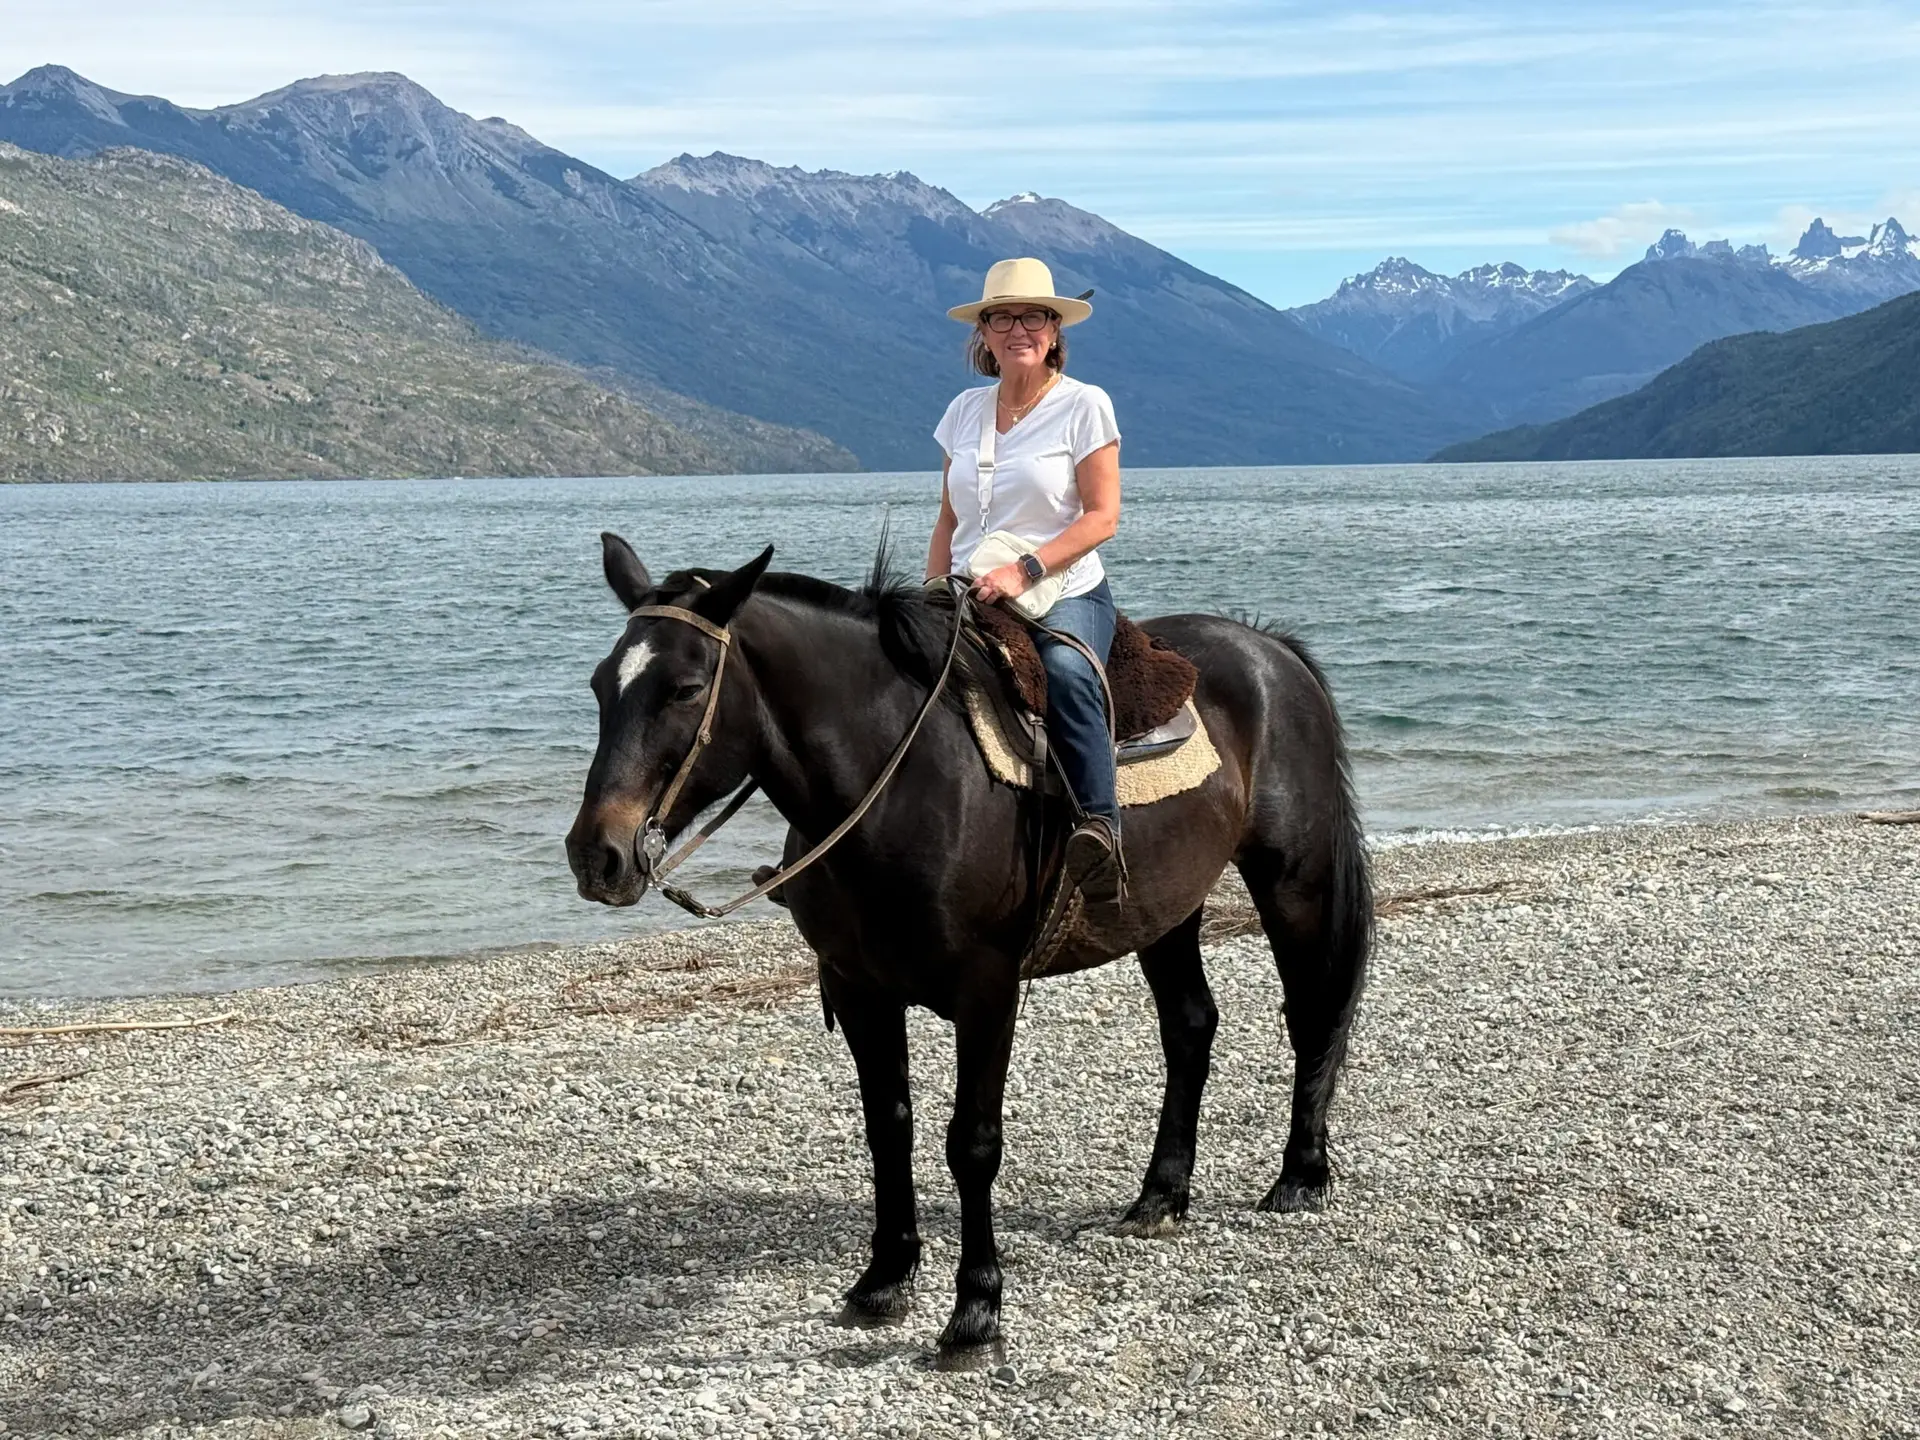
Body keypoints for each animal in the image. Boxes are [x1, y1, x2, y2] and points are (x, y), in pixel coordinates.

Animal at [566, 534, 1372, 1370]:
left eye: (687, 688)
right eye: (599, 685)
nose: (598, 855)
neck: (899, 784)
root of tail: (1269, 649)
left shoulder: (987, 990)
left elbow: (973, 1143)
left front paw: (976, 1312)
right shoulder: (857, 987)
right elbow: (887, 1125)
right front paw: (883, 1279)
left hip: (1293, 878)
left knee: (1312, 1011)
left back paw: (1301, 1176)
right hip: (1165, 909)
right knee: (1190, 1027)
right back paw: (1159, 1197)